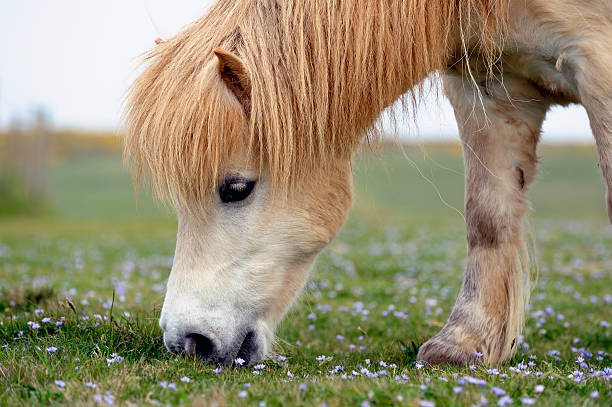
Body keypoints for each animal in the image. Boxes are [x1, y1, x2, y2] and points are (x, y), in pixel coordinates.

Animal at [124, 0, 612, 366]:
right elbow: (488, 217)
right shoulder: (490, 86)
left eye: (236, 188)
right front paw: (464, 343)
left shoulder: (596, 63)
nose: (188, 342)